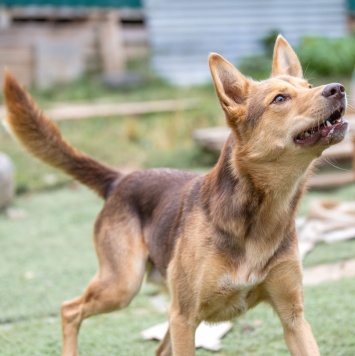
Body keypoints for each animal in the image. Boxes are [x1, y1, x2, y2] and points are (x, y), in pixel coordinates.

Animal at [2, 34, 348, 356]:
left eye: (309, 85)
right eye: (279, 99)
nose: (338, 88)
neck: (263, 214)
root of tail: (121, 179)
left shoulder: (293, 318)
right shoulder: (184, 318)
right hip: (123, 285)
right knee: (69, 309)